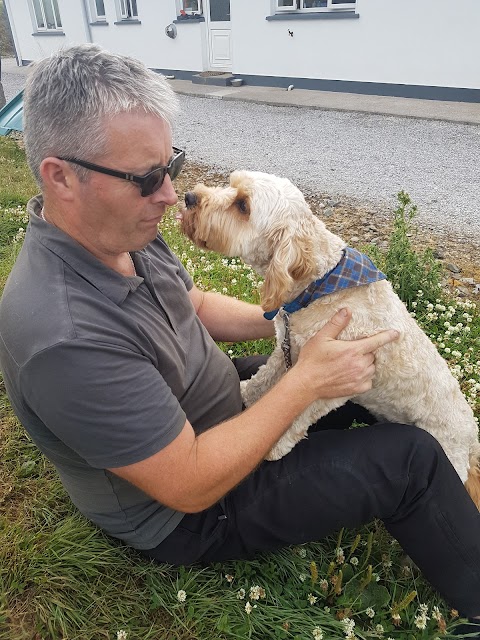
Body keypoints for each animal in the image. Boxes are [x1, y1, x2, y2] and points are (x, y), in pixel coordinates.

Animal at [179, 171, 480, 510]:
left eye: (243, 205)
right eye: (231, 184)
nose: (189, 197)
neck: (322, 284)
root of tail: (472, 443)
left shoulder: (334, 384)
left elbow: (298, 417)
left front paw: (276, 447)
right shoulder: (290, 350)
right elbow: (265, 378)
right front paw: (245, 392)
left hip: (448, 453)